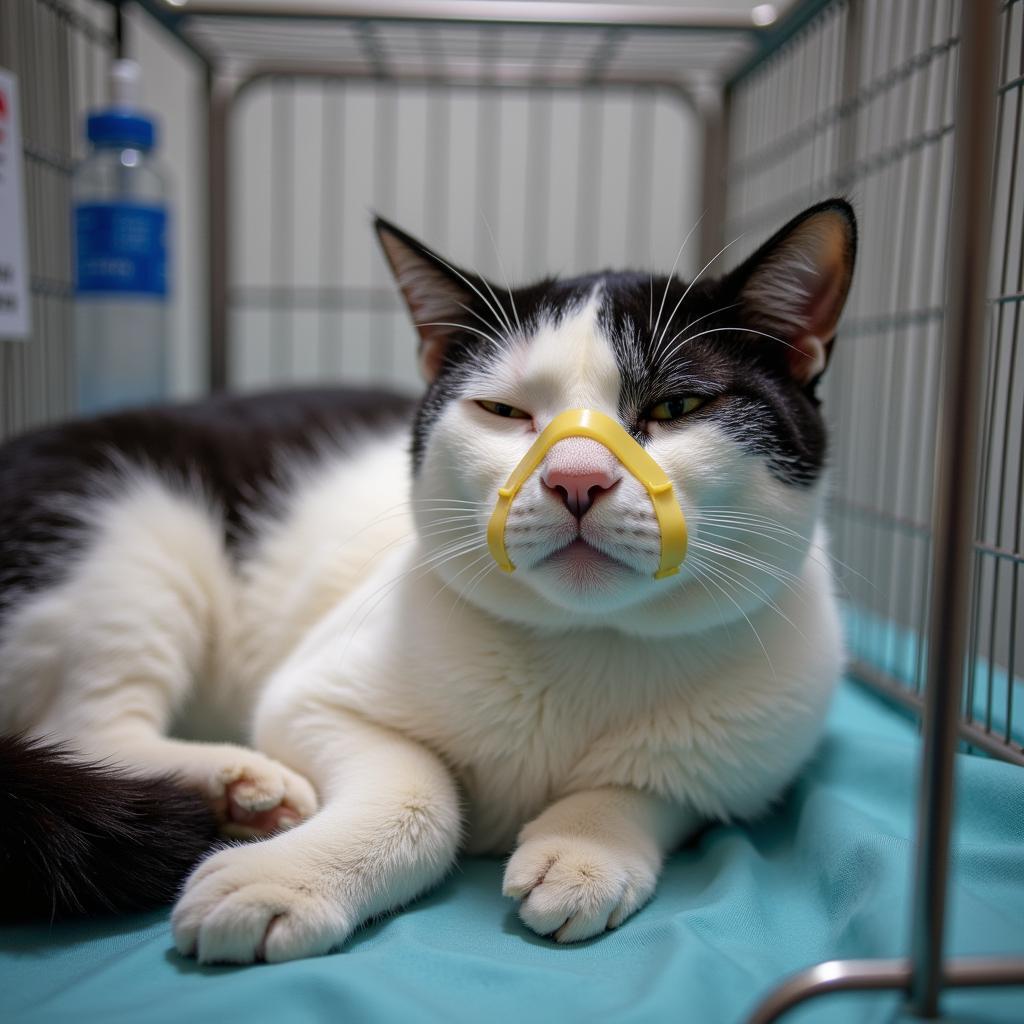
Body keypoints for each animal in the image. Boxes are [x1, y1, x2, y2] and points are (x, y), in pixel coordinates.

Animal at [0, 197, 856, 958]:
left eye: (678, 406)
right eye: (503, 411)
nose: (576, 479)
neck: (586, 645)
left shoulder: (742, 766)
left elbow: (653, 785)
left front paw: (588, 848)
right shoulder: (311, 697)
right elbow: (420, 792)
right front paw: (286, 881)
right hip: (131, 538)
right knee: (81, 725)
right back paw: (236, 783)